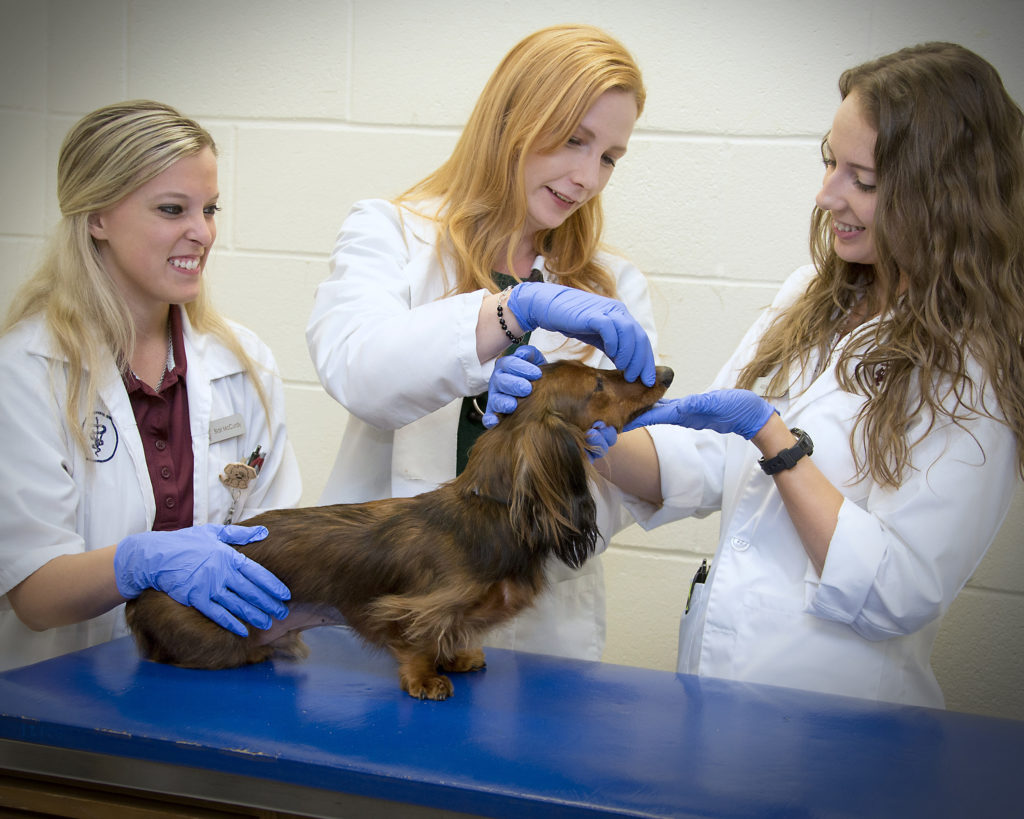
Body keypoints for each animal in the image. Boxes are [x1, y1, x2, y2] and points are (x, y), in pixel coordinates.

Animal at [125, 358, 671, 696]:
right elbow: (418, 637)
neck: (490, 512)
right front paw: (427, 679)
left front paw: (457, 657)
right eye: (596, 384)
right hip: (220, 641)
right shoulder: (413, 606)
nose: (664, 371)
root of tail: (141, 595)